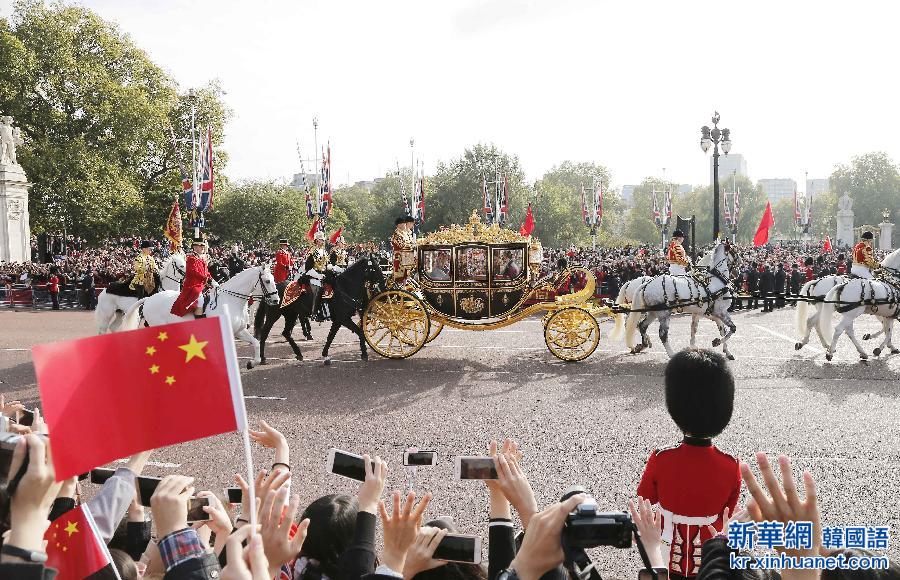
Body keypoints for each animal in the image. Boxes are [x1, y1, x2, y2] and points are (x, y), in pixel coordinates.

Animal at [121, 266, 280, 370]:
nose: (276, 300)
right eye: (267, 281)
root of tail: (149, 298)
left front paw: (252, 363)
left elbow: (255, 343)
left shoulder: (239, 331)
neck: (230, 300)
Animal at [255, 255, 384, 364]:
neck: (343, 288)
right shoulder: (344, 319)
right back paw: (262, 358)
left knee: (286, 332)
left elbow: (330, 336)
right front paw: (364, 354)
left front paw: (325, 355)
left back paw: (299, 353)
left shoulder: (338, 320)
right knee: (265, 332)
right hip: (274, 315)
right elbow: (360, 332)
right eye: (374, 268)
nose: (383, 286)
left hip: (291, 315)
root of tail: (270, 291)